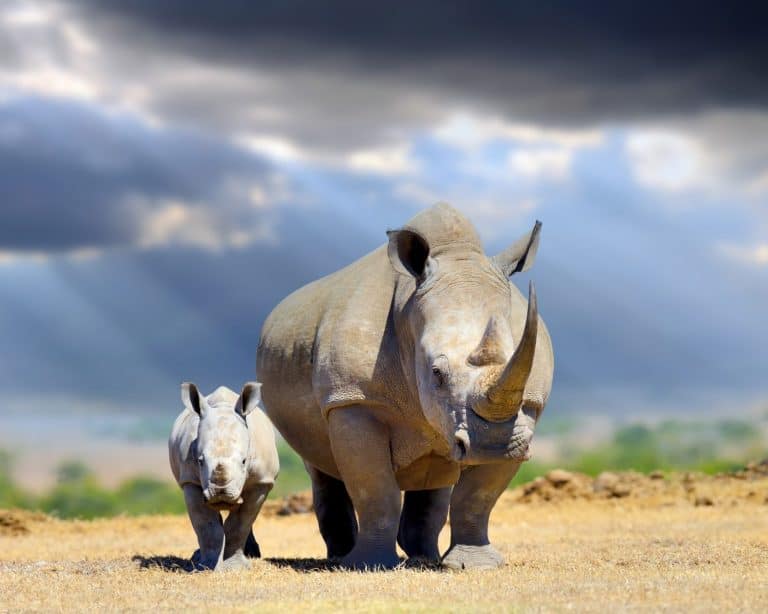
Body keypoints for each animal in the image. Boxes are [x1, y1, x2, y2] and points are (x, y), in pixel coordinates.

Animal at [169, 382, 279, 571]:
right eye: (200, 461)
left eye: (244, 461)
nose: (221, 493)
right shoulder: (190, 480)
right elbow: (205, 523)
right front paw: (206, 565)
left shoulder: (261, 481)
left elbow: (241, 521)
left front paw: (235, 567)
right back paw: (197, 556)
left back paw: (252, 554)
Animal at [257, 204, 553, 569]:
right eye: (436, 373)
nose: (493, 445)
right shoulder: (353, 400)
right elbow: (375, 489)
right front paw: (368, 565)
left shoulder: (525, 410)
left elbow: (478, 497)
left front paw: (475, 565)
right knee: (320, 463)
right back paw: (341, 558)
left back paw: (425, 557)